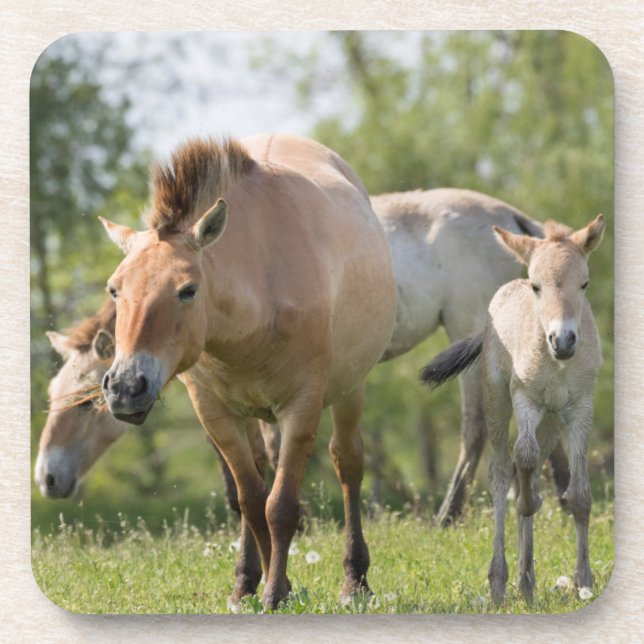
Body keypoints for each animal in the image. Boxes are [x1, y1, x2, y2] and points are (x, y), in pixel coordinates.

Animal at [98, 134, 398, 609]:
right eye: (114, 289)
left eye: (187, 290)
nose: (126, 388)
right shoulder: (215, 414)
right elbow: (253, 500)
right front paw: (272, 586)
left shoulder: (302, 407)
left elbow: (281, 506)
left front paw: (275, 593)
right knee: (257, 477)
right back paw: (248, 580)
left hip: (351, 390)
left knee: (348, 464)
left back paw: (355, 581)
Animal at [420, 215, 605, 604]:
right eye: (536, 286)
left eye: (584, 284)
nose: (563, 341)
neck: (556, 364)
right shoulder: (525, 400)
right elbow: (522, 467)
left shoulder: (580, 409)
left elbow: (579, 495)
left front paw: (584, 582)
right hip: (497, 402)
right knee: (503, 472)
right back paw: (501, 581)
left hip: (551, 423)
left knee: (527, 471)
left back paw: (526, 581)